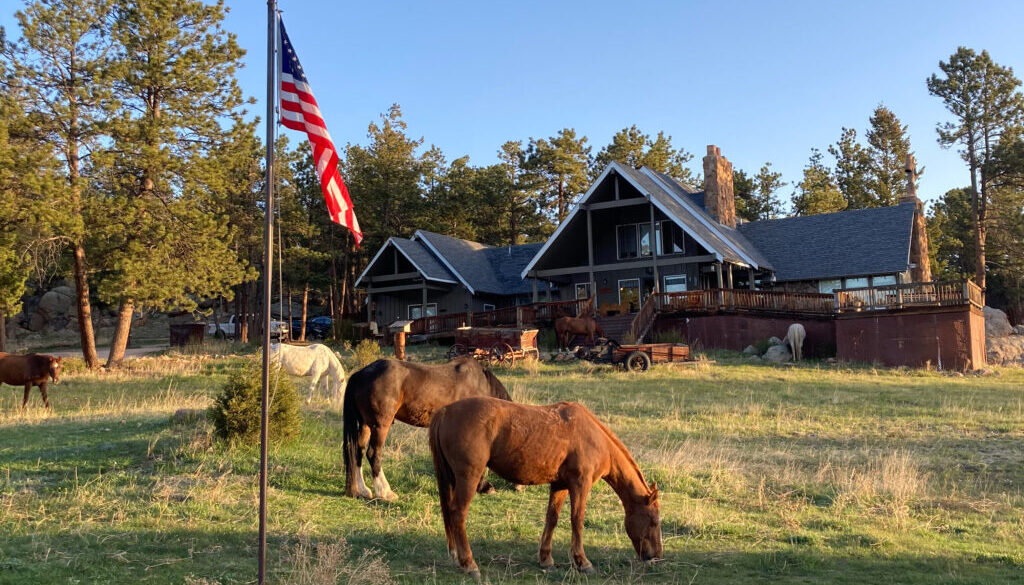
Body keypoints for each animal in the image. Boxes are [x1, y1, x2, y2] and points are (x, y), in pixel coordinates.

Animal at [342, 354, 509, 502]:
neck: (482, 386)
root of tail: (361, 374)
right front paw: (484, 486)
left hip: (366, 424)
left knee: (358, 451)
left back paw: (362, 490)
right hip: (380, 425)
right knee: (373, 454)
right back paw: (385, 492)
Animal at [428, 395, 659, 577]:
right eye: (654, 521)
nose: (656, 556)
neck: (593, 437)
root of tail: (445, 411)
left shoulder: (560, 485)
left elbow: (552, 518)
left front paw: (546, 560)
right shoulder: (580, 485)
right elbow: (577, 520)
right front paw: (582, 562)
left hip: (451, 478)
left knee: (449, 513)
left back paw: (456, 557)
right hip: (468, 477)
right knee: (458, 514)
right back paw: (469, 564)